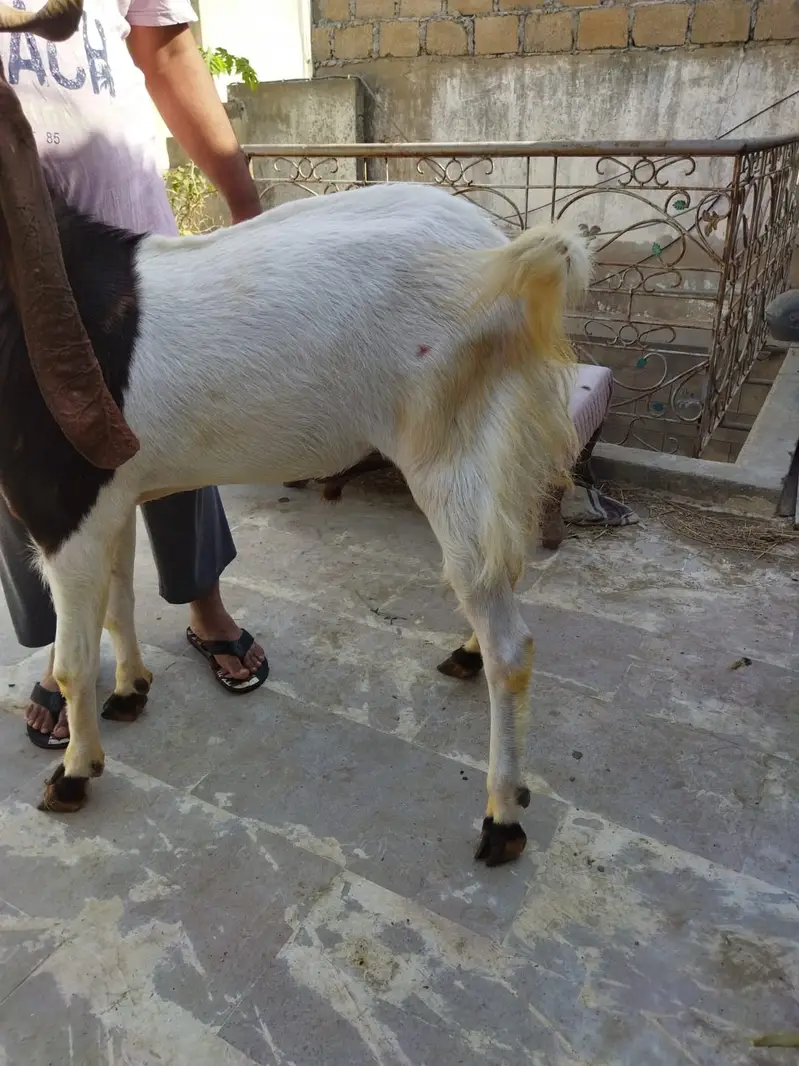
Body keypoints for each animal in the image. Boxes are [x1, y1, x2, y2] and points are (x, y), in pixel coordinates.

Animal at [0, 2, 591, 868]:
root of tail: (508, 255)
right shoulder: (112, 496)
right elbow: (119, 601)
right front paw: (132, 691)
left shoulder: (63, 509)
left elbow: (73, 660)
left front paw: (74, 773)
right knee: (495, 566)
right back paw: (465, 652)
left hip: (447, 448)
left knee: (511, 641)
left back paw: (501, 815)